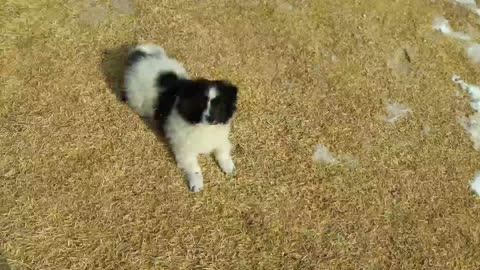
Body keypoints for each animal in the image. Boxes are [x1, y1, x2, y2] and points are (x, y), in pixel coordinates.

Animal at [123, 43, 237, 192]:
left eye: (219, 106)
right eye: (201, 104)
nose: (210, 118)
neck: (203, 127)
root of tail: (143, 58)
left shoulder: (219, 139)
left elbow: (223, 152)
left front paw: (228, 166)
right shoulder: (185, 151)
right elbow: (194, 168)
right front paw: (196, 183)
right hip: (137, 101)